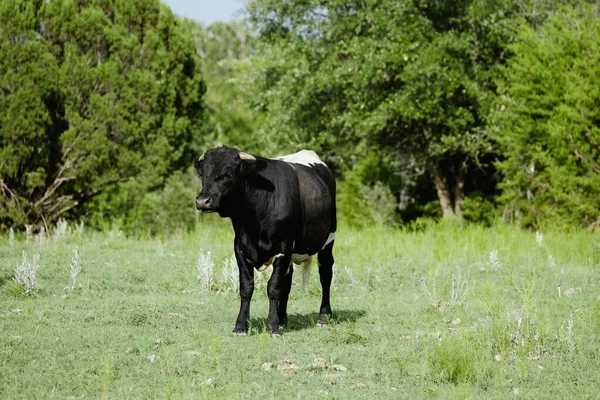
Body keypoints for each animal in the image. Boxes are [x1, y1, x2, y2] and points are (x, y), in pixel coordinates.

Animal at [197, 147, 338, 334]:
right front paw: (241, 326)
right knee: (287, 280)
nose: (202, 201)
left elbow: (273, 287)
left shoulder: (283, 247)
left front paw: (272, 326)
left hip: (328, 240)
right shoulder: (240, 247)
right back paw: (283, 319)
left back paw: (324, 317)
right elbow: (246, 288)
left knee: (325, 274)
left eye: (227, 174)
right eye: (203, 175)